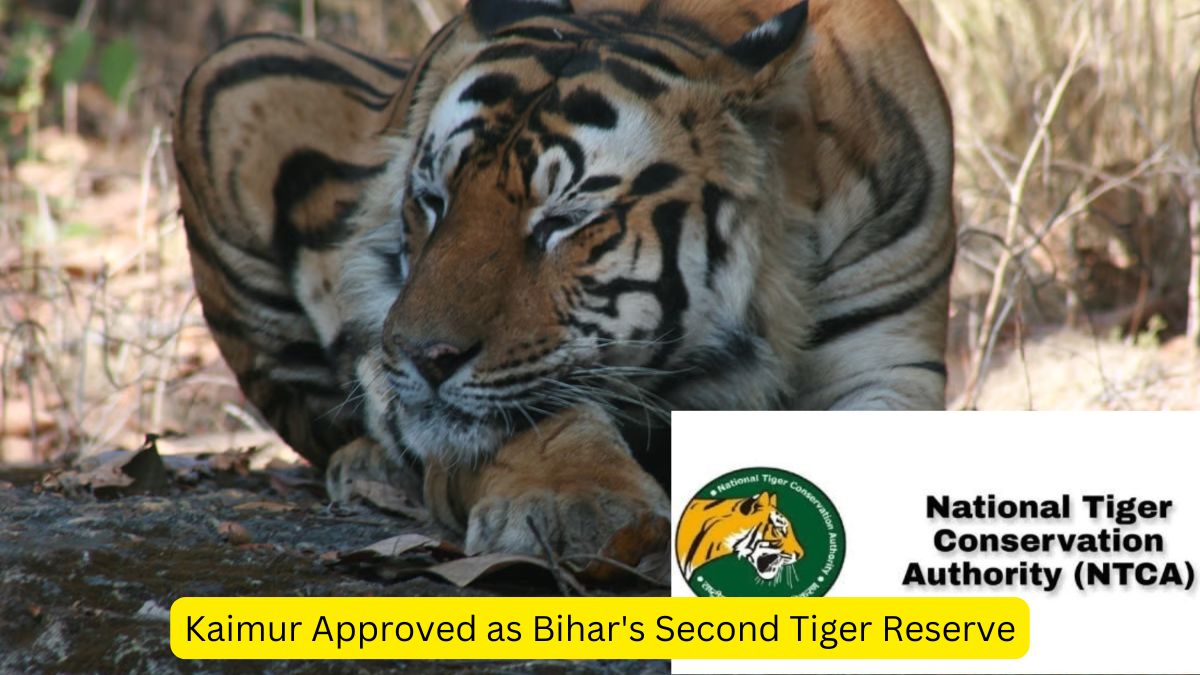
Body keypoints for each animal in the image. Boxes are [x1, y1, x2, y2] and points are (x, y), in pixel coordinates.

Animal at [174, 0, 954, 565]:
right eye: (432, 200)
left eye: (561, 221)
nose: (423, 357)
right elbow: (528, 420)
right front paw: (577, 507)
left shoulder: (890, 368)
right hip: (226, 78)